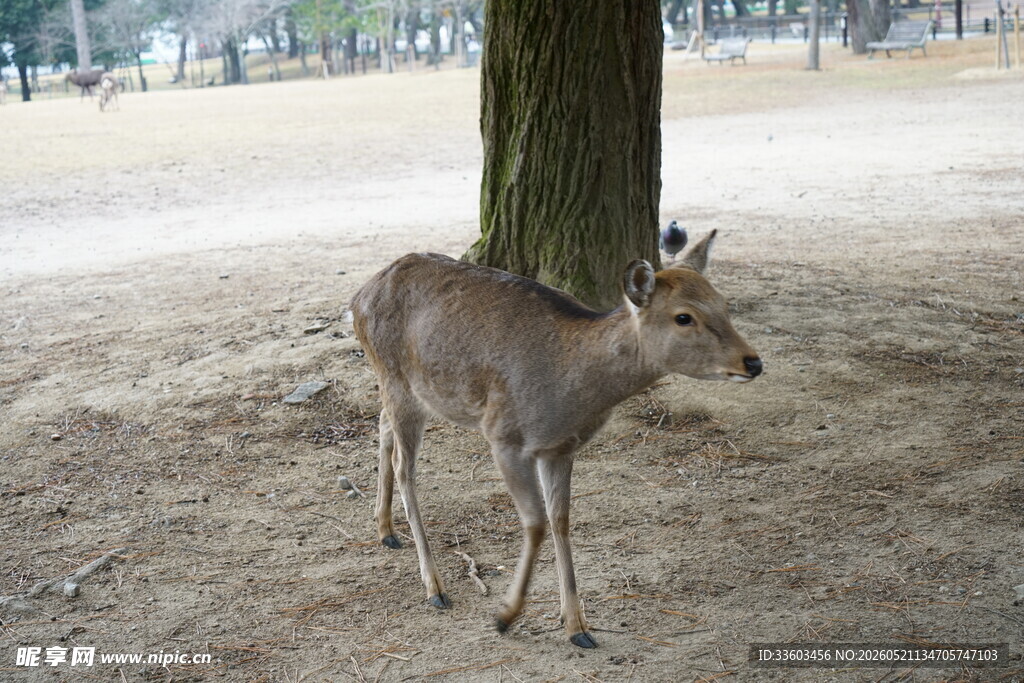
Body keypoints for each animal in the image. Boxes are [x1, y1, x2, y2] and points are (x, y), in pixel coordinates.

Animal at [350, 230, 762, 649]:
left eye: (724, 304)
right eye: (683, 317)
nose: (753, 362)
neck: (572, 389)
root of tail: (360, 295)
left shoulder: (560, 448)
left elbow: (560, 519)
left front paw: (577, 625)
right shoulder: (505, 437)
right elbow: (535, 523)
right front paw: (506, 616)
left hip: (407, 390)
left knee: (382, 423)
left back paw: (386, 530)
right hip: (397, 378)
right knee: (405, 467)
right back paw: (434, 586)